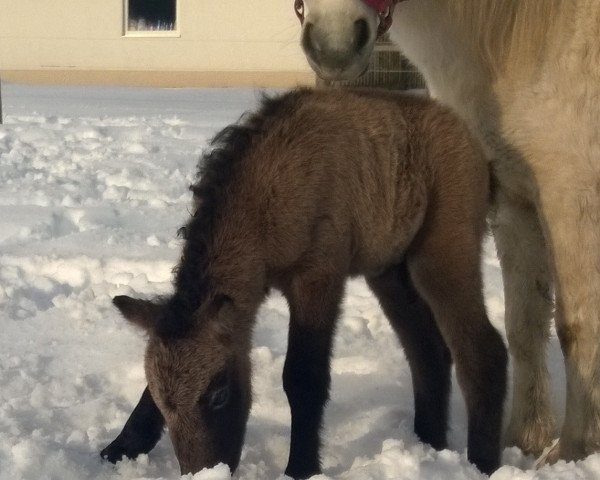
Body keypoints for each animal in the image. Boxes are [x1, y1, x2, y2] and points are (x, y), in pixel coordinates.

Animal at [298, 0, 600, 464]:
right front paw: (522, 441)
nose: (334, 45)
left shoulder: (572, 196)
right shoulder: (514, 200)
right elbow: (524, 326)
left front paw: (573, 452)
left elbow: (577, 328)